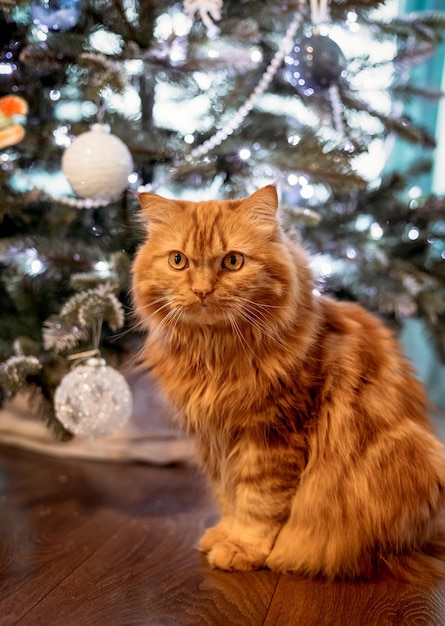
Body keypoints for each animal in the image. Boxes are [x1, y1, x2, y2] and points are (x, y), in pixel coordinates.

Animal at [131, 184, 444, 580]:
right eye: (178, 261)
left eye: (232, 262)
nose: (202, 291)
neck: (215, 354)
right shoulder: (214, 440)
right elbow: (228, 497)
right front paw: (224, 534)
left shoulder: (272, 437)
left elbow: (257, 507)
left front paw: (242, 549)